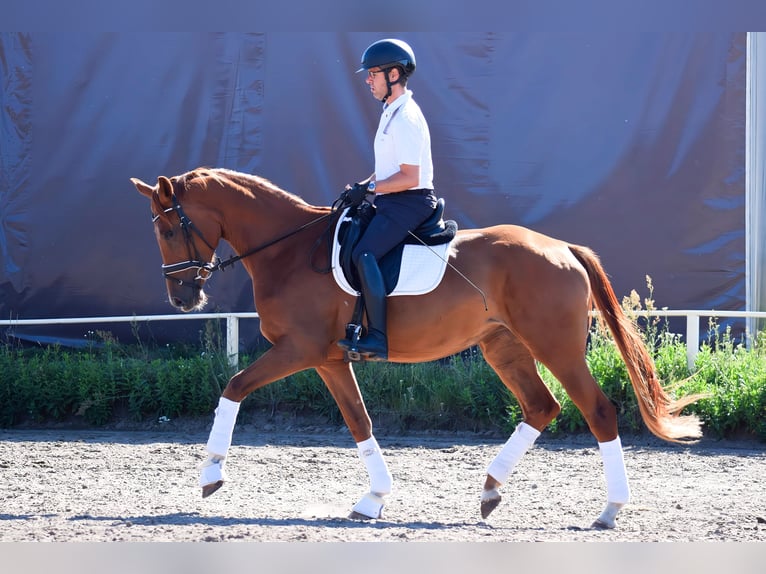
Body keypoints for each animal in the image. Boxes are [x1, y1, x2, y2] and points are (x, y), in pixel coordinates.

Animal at [132, 167, 704, 529]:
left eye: (168, 228)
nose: (182, 297)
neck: (288, 250)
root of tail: (562, 247)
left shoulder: (299, 350)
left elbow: (233, 387)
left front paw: (210, 475)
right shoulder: (329, 359)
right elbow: (359, 420)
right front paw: (373, 499)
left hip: (555, 346)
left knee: (597, 410)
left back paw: (609, 510)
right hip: (504, 347)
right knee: (542, 407)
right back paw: (490, 489)